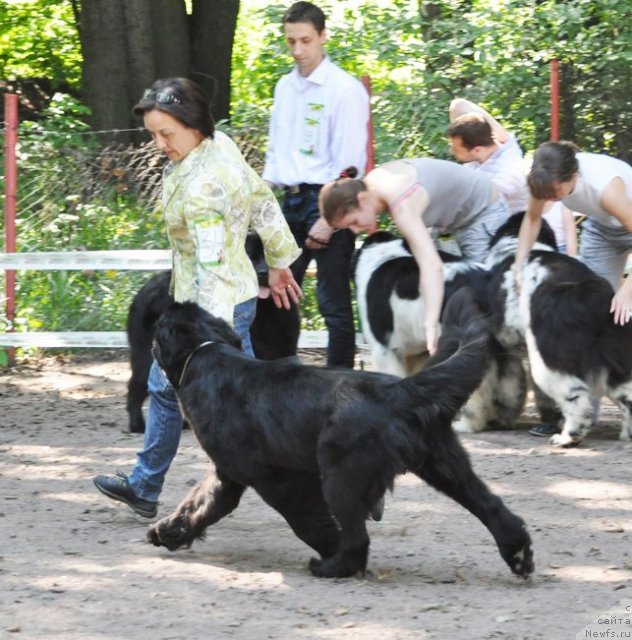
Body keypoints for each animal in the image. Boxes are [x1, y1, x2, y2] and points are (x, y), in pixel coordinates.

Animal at [126, 232, 302, 432]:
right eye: (251, 256)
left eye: (268, 256)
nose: (264, 272)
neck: (266, 310)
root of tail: (141, 292)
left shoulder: (284, 348)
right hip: (147, 355)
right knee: (136, 384)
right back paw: (137, 423)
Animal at [146, 292, 532, 584]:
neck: (205, 354)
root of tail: (403, 390)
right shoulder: (226, 474)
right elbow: (196, 506)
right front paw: (165, 532)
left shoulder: (277, 480)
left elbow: (310, 524)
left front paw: (329, 547)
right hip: (444, 465)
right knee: (493, 507)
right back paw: (519, 555)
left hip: (341, 476)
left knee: (357, 536)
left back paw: (332, 567)